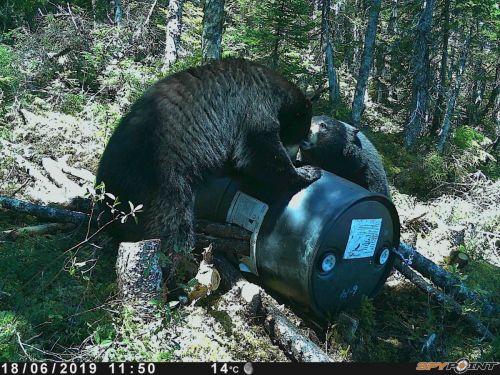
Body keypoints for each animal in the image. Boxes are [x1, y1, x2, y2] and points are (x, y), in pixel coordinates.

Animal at [95, 58, 318, 262]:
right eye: (300, 138)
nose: (296, 157)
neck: (271, 85)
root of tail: (106, 190)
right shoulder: (253, 106)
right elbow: (258, 150)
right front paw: (307, 172)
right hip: (161, 183)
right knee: (171, 225)